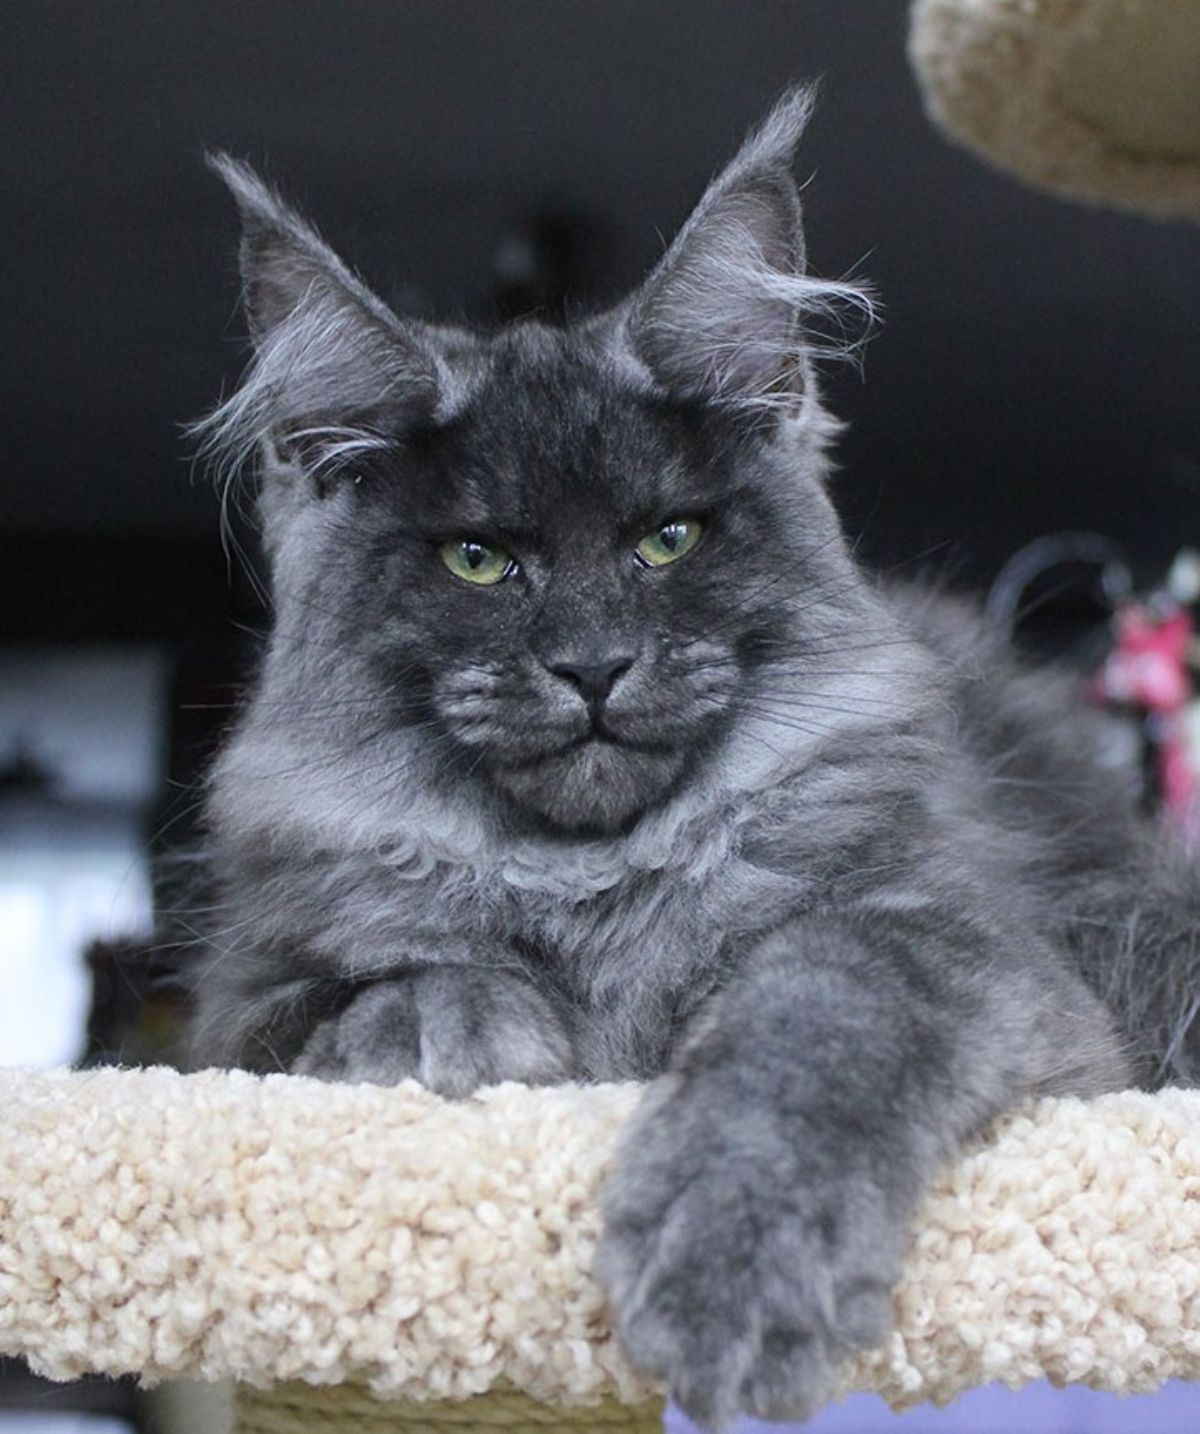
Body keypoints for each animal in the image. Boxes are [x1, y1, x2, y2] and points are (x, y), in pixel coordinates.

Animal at [187, 95, 1198, 1428]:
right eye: (477, 560)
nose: (594, 666)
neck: (594, 885)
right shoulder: (233, 1016)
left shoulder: (970, 954)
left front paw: (737, 1256)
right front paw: (445, 1022)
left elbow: (819, 1010)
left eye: (667, 540)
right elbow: (364, 989)